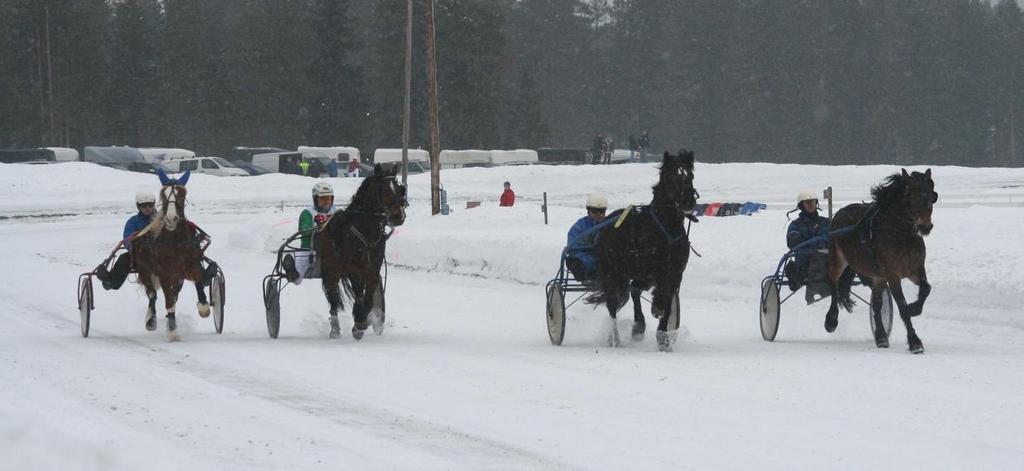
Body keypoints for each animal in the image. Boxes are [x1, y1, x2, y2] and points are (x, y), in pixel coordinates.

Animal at [132, 170, 211, 339]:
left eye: (182, 194)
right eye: (163, 195)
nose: (170, 218)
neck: (176, 242)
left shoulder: (191, 265)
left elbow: (199, 281)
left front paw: (203, 306)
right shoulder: (164, 274)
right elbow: (168, 302)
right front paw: (173, 331)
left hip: (177, 277)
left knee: (173, 295)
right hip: (144, 271)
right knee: (152, 294)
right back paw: (151, 320)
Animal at [317, 164, 405, 337]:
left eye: (399, 189)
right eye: (382, 189)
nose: (398, 216)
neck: (366, 230)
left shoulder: (374, 265)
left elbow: (371, 288)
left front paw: (365, 318)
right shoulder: (353, 267)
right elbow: (359, 291)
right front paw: (359, 321)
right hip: (331, 270)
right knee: (333, 298)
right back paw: (335, 329)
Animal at [589, 149, 700, 350]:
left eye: (691, 176)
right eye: (673, 175)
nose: (688, 201)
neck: (666, 229)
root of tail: (605, 224)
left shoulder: (675, 272)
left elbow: (667, 297)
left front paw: (663, 336)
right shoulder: (650, 271)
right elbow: (644, 292)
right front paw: (645, 323)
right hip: (611, 273)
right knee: (613, 304)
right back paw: (617, 337)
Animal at [823, 168, 937, 352]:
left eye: (931, 196)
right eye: (910, 196)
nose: (925, 227)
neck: (901, 234)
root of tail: (839, 213)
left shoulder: (915, 269)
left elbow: (926, 288)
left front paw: (914, 308)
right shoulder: (893, 276)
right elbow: (902, 306)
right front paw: (915, 342)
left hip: (877, 277)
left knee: (876, 305)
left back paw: (881, 337)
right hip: (838, 259)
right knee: (833, 283)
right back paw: (831, 320)